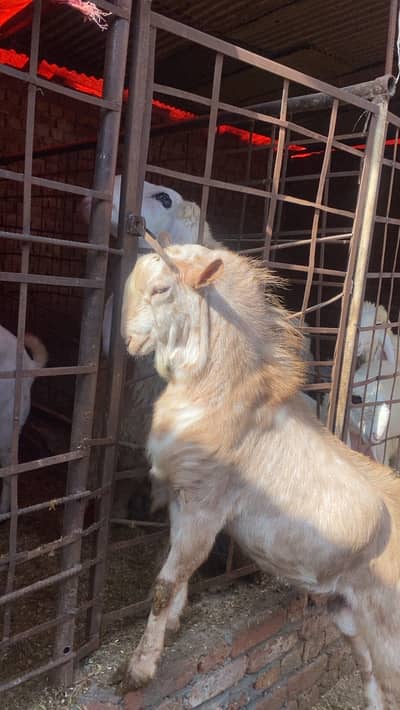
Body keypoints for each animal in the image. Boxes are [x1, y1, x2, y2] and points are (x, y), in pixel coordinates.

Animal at [120, 238, 400, 708]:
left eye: (161, 289)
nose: (129, 339)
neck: (224, 393)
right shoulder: (183, 498)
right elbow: (179, 574)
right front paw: (173, 626)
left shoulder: (207, 506)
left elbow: (165, 585)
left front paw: (139, 671)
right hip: (350, 617)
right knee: (374, 686)